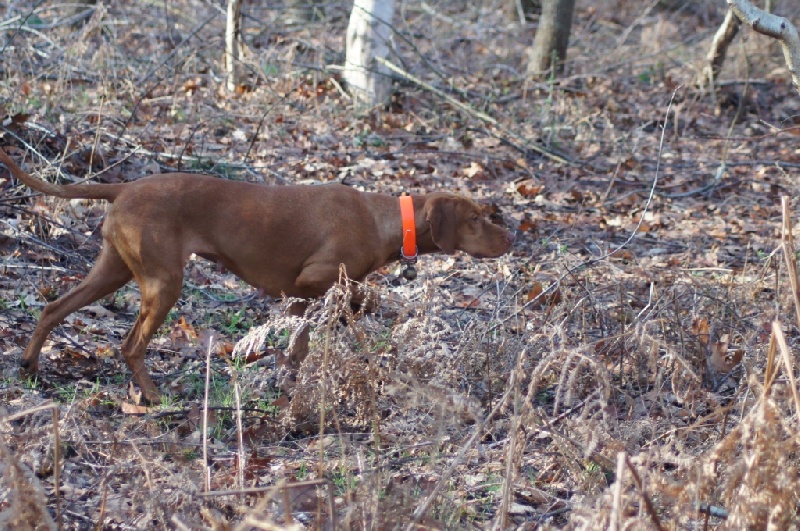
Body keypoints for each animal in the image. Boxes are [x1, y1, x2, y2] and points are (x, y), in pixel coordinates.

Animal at [0, 147, 516, 404]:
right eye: (476, 219)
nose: (511, 238)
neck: (386, 219)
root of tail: (124, 186)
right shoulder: (314, 280)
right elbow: (354, 303)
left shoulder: (301, 297)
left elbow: (301, 344)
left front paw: (286, 379)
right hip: (163, 282)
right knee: (130, 344)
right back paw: (153, 397)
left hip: (114, 270)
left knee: (53, 307)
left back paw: (29, 365)